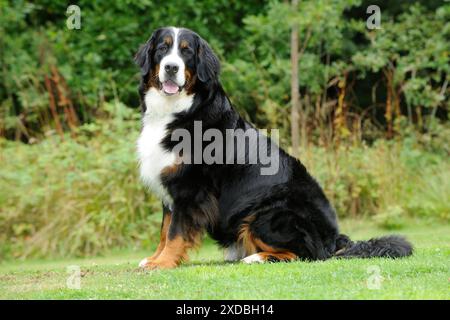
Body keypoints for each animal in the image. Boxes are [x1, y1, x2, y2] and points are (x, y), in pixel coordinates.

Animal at [134, 26, 412, 268]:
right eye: (163, 48)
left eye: (187, 51)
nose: (171, 67)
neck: (178, 111)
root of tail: (334, 238)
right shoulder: (171, 187)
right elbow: (164, 230)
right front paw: (154, 259)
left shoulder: (190, 191)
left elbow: (175, 233)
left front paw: (163, 263)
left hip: (267, 215)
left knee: (307, 254)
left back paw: (255, 257)